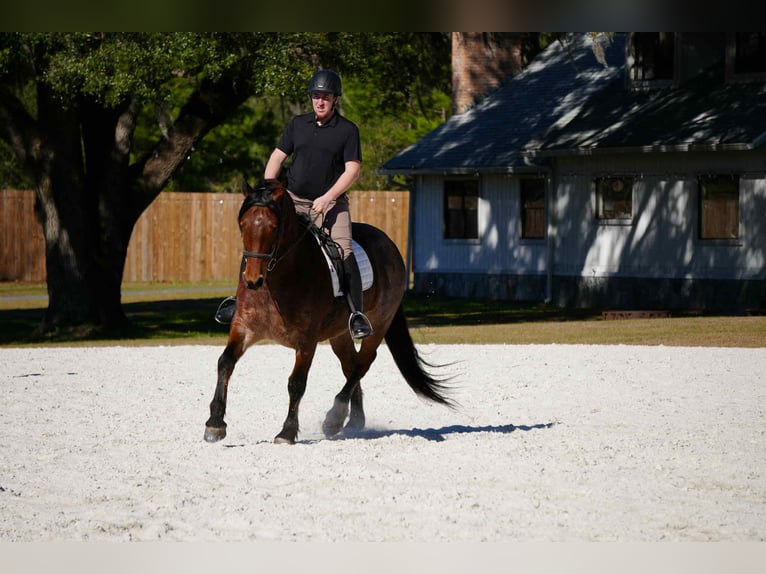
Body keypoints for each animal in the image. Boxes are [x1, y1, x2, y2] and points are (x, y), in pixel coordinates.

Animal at [204, 178, 455, 444]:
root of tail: (389, 245)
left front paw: (287, 432)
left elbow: (296, 383)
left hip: (378, 324)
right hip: (340, 333)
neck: (277, 281)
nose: (252, 280)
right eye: (243, 224)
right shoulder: (243, 327)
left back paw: (334, 418)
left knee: (362, 363)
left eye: (273, 227)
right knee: (350, 365)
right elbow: (225, 363)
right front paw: (215, 424)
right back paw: (354, 422)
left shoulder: (306, 341)